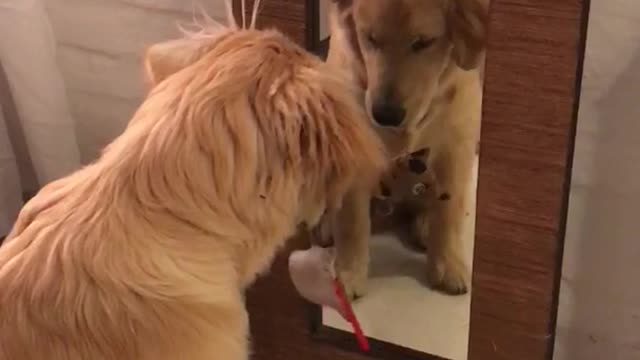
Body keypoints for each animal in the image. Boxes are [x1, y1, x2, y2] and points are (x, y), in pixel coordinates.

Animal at [328, 0, 488, 296]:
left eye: (423, 43)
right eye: (371, 39)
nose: (385, 115)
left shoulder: (456, 144)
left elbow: (449, 210)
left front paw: (447, 263)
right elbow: (352, 221)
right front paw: (349, 271)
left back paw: (425, 226)